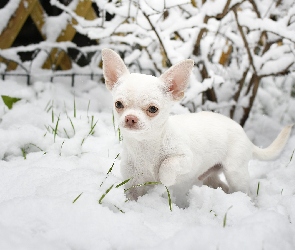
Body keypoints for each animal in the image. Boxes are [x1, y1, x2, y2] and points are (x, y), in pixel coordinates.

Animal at [102, 48, 294, 201]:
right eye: (118, 104)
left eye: (153, 109)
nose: (130, 118)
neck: (145, 147)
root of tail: (245, 136)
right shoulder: (132, 182)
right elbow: (132, 196)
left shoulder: (186, 159)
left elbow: (167, 164)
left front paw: (165, 178)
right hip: (210, 177)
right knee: (221, 185)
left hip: (235, 172)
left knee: (243, 190)